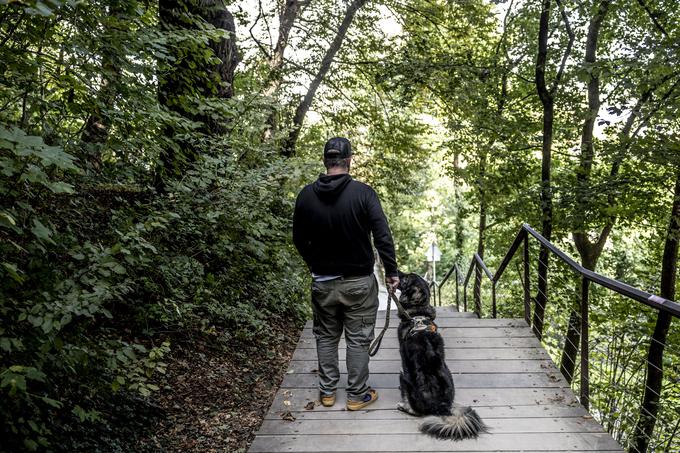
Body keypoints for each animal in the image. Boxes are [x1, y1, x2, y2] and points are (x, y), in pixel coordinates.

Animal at [396, 272, 486, 438]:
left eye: (406, 279)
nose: (397, 271)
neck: (419, 313)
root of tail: (441, 407)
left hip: (403, 376)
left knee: (415, 410)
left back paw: (402, 405)